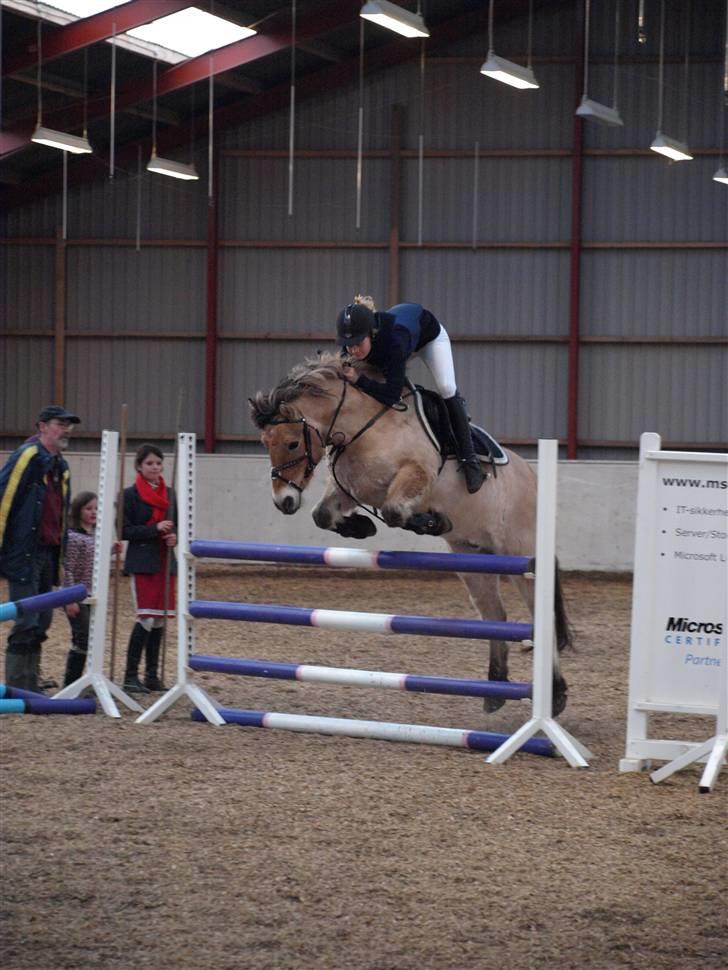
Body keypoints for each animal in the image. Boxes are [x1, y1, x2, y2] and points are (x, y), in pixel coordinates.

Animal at [247, 352, 572, 716]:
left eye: (291, 443)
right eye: (265, 444)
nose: (284, 502)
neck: (362, 427)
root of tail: (532, 477)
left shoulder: (415, 474)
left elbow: (394, 512)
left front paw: (433, 521)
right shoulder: (350, 489)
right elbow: (323, 515)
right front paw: (363, 527)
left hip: (520, 554)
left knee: (540, 615)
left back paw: (556, 694)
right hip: (471, 557)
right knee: (494, 615)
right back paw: (495, 688)